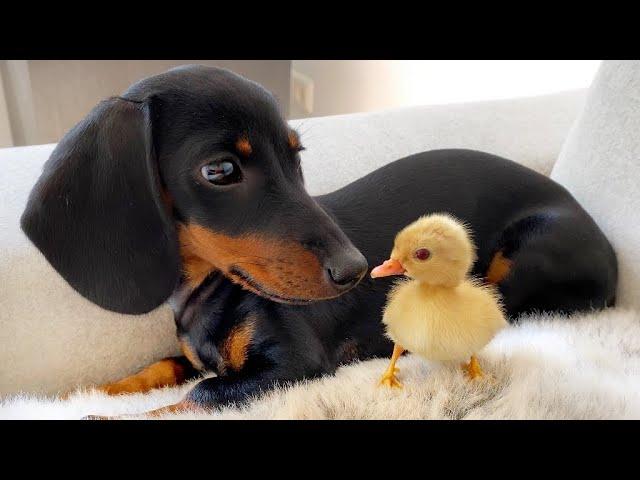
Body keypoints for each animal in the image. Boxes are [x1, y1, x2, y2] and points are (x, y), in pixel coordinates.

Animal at [22, 64, 616, 416]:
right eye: (220, 170)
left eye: (296, 157)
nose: (357, 270)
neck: (206, 291)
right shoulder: (195, 356)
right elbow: (161, 368)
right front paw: (79, 394)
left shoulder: (291, 364)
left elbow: (198, 394)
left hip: (527, 250)